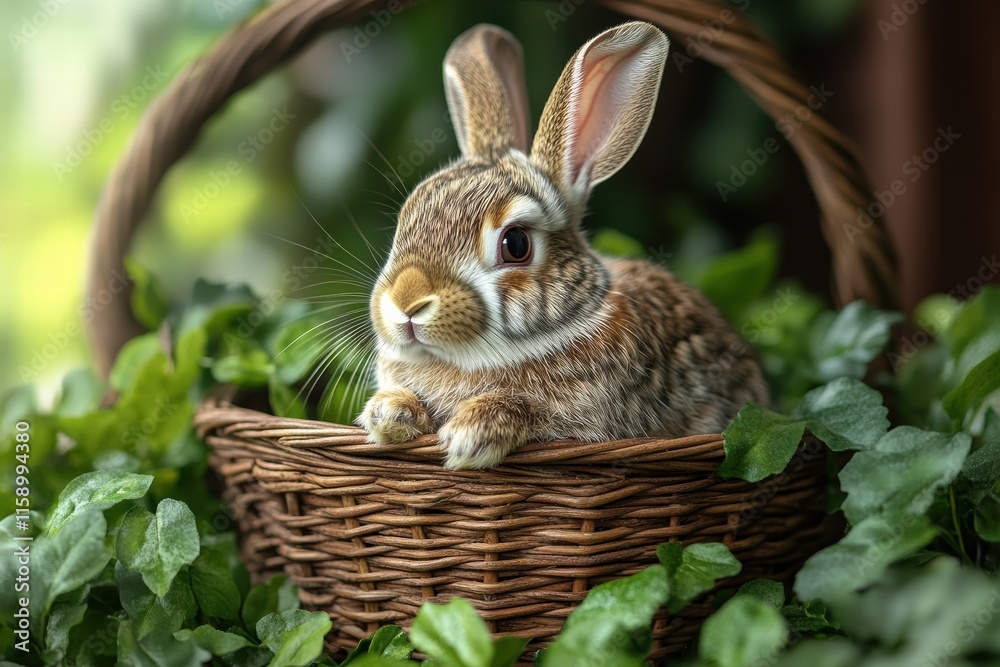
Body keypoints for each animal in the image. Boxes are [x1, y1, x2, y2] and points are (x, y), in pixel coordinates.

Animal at [358, 21, 769, 469]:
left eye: (515, 244)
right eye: (405, 221)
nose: (406, 302)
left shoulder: (592, 427)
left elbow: (534, 414)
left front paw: (472, 433)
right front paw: (388, 413)